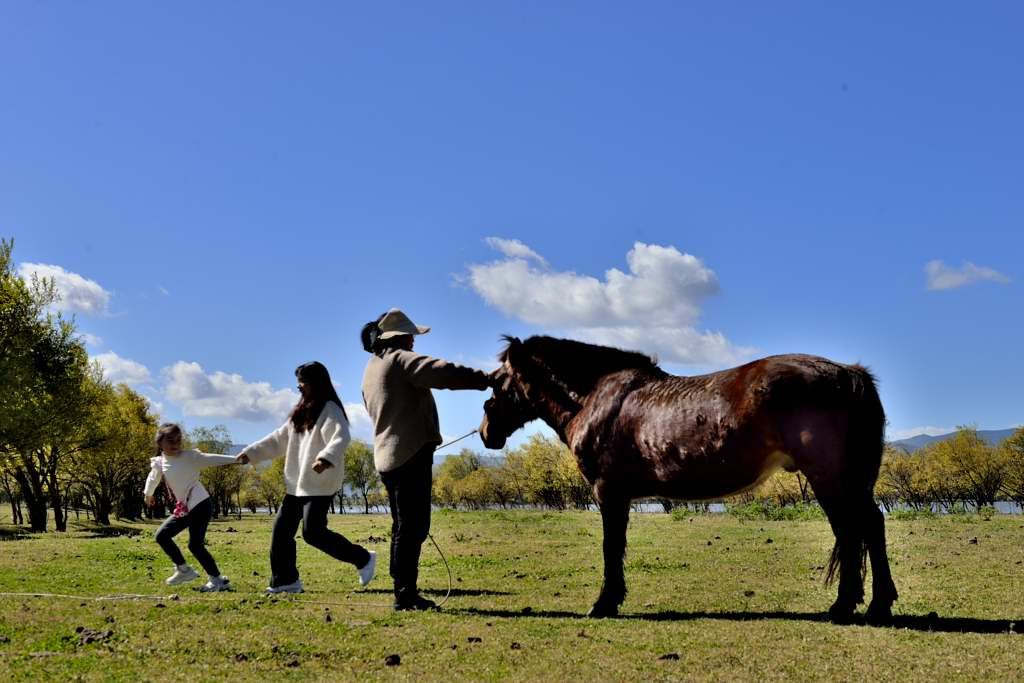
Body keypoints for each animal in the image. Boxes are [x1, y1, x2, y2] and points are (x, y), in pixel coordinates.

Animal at [479, 335, 897, 626]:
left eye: (496, 383)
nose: (485, 433)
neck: (598, 400)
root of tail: (850, 374)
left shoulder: (608, 492)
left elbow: (610, 547)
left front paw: (605, 603)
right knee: (869, 527)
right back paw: (876, 605)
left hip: (830, 478)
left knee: (852, 530)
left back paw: (845, 606)